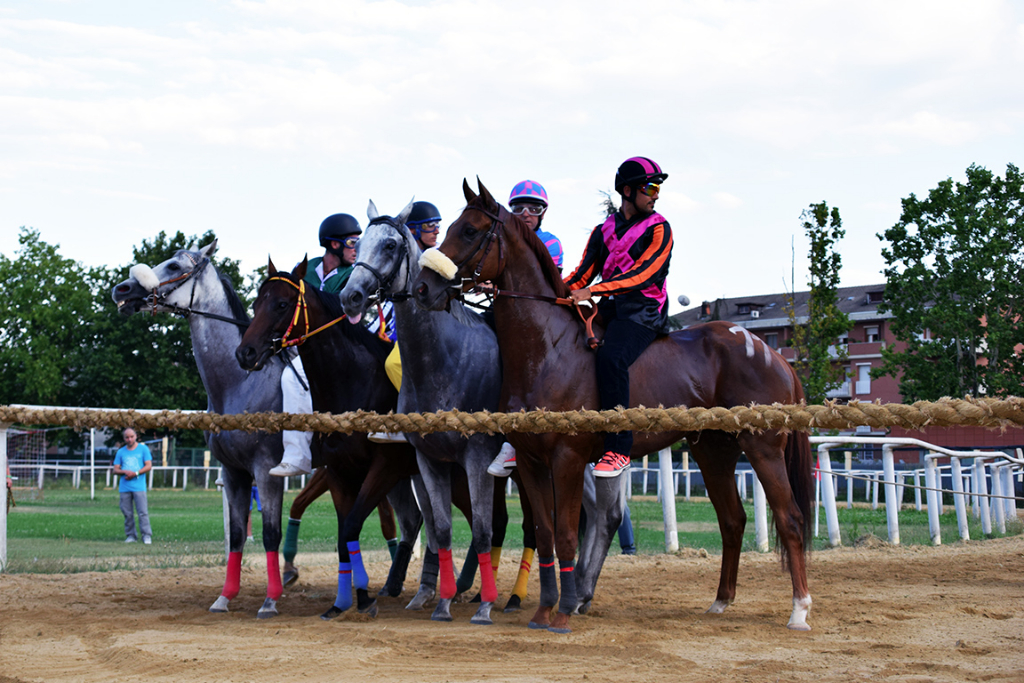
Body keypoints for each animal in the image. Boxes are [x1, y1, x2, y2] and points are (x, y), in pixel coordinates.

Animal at [415, 179, 815, 634]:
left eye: (469, 230)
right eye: (450, 227)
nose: (424, 288)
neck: (547, 349)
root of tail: (773, 353)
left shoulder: (568, 459)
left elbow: (567, 535)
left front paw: (564, 610)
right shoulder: (532, 463)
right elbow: (546, 535)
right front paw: (544, 609)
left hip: (763, 448)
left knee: (790, 519)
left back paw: (799, 609)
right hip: (713, 451)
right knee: (732, 521)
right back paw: (721, 601)